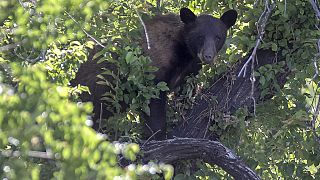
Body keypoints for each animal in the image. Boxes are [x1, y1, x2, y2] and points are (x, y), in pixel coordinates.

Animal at [70, 8, 236, 141]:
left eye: (218, 37)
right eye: (200, 36)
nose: (208, 56)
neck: (184, 52)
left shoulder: (190, 70)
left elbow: (186, 92)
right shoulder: (153, 68)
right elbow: (153, 102)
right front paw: (158, 135)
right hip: (93, 91)